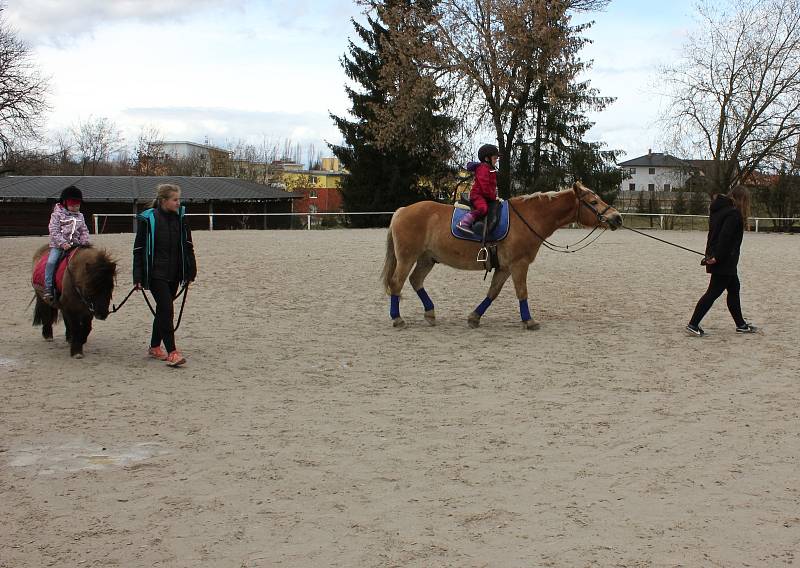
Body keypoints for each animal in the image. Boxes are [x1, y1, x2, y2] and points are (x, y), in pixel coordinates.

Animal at [382, 182, 624, 328]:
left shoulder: (505, 267)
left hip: (427, 258)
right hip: (407, 257)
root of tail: (402, 210)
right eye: (593, 202)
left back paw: (430, 313)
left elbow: (493, 293)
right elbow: (522, 292)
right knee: (396, 283)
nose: (617, 217)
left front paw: (474, 317)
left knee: (415, 281)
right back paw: (397, 318)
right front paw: (529, 321)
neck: (529, 217)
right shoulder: (519, 264)